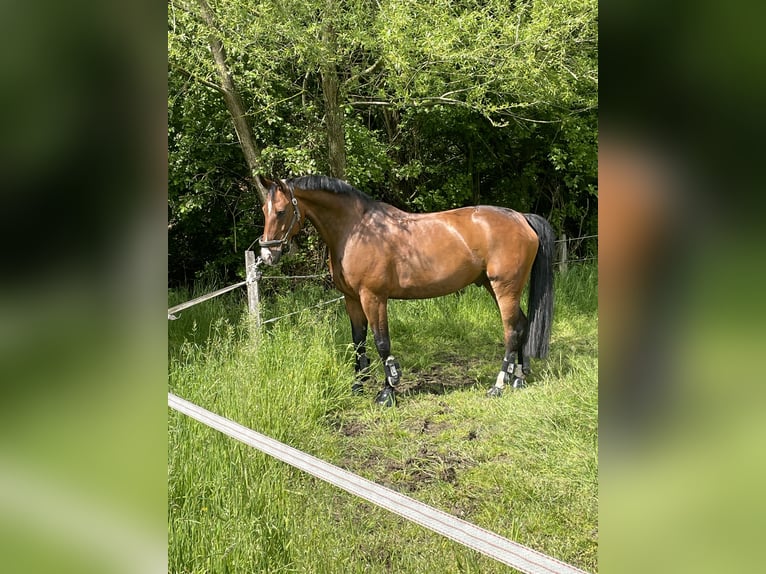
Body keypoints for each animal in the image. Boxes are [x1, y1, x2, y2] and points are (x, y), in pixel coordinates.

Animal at [260, 178, 556, 408]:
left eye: (282, 211)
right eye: (264, 209)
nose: (267, 255)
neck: (357, 230)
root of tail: (521, 218)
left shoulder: (374, 298)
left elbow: (382, 343)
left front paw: (387, 392)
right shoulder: (352, 299)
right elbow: (358, 341)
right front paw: (358, 386)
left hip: (504, 288)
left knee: (511, 330)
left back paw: (499, 385)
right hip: (494, 287)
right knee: (522, 323)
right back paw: (518, 378)